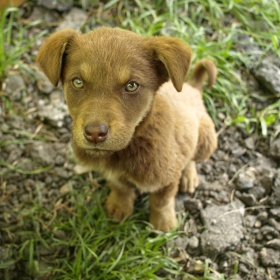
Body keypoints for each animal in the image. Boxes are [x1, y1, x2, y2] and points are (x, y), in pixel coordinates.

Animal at [36, 27, 217, 232]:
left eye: (131, 86)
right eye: (78, 82)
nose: (95, 134)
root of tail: (192, 88)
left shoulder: (167, 178)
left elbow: (161, 201)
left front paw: (163, 223)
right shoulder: (111, 173)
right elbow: (120, 187)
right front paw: (119, 206)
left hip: (207, 140)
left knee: (192, 157)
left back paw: (189, 176)